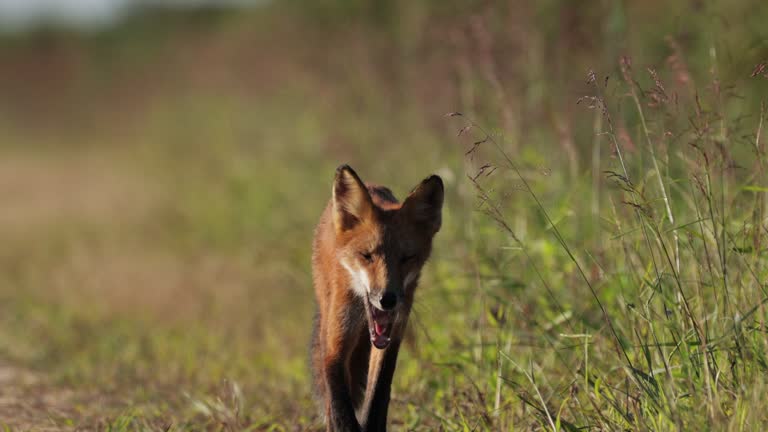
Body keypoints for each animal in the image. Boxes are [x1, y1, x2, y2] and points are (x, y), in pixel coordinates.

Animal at [310, 165, 444, 432]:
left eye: (406, 258)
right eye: (367, 256)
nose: (387, 299)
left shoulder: (392, 339)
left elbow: (377, 400)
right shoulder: (335, 341)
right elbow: (340, 408)